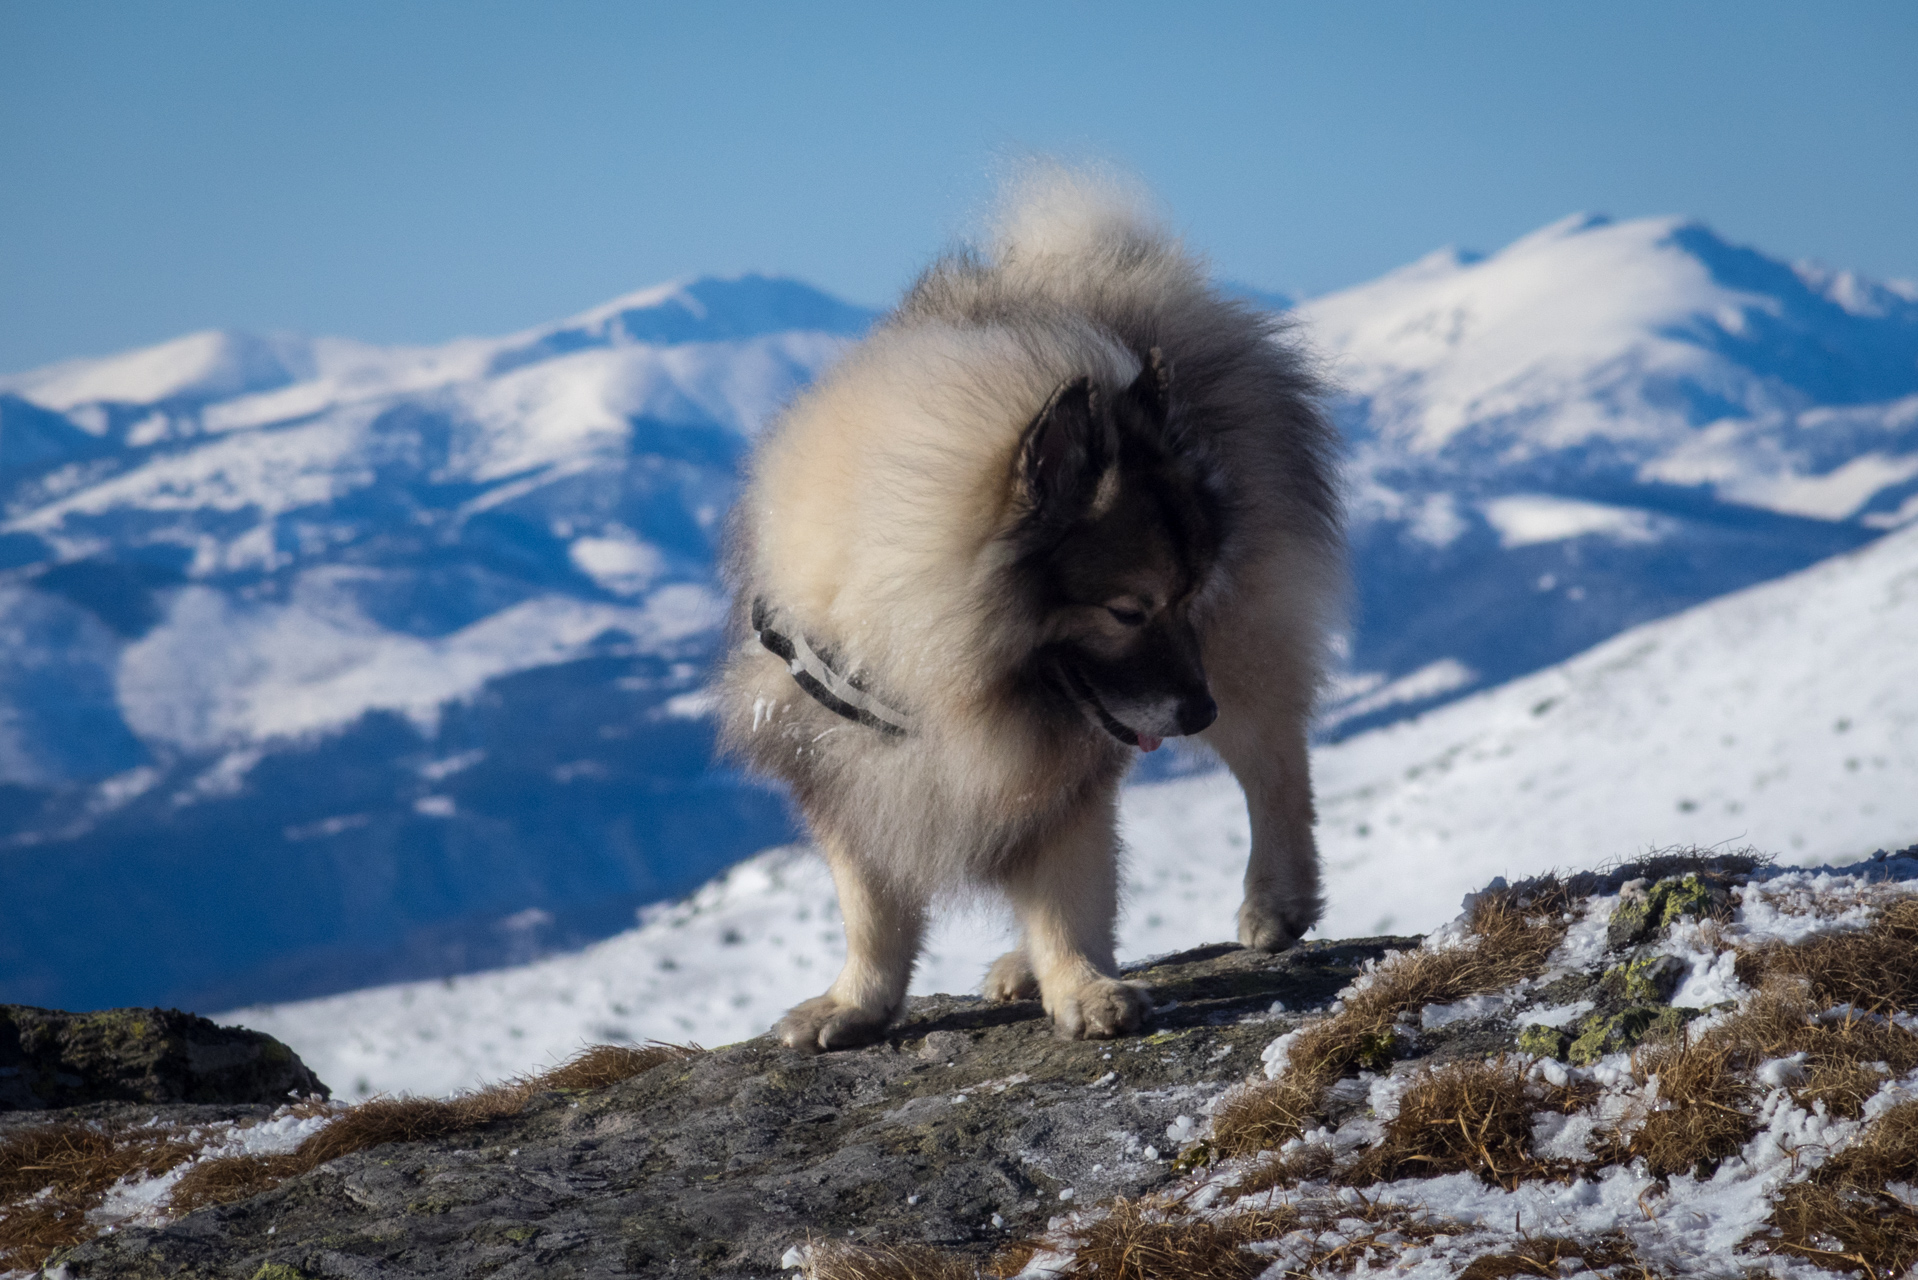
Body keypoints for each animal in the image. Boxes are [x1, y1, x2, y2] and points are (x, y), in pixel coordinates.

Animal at [721, 169, 1350, 1051]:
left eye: (1189, 595)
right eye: (1128, 611)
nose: (1197, 711)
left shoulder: (1049, 758)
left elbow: (1067, 885)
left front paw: (1084, 986)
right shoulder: (851, 766)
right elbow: (870, 904)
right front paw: (856, 1003)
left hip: (1243, 648)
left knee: (1275, 766)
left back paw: (1276, 900)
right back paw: (1021, 966)